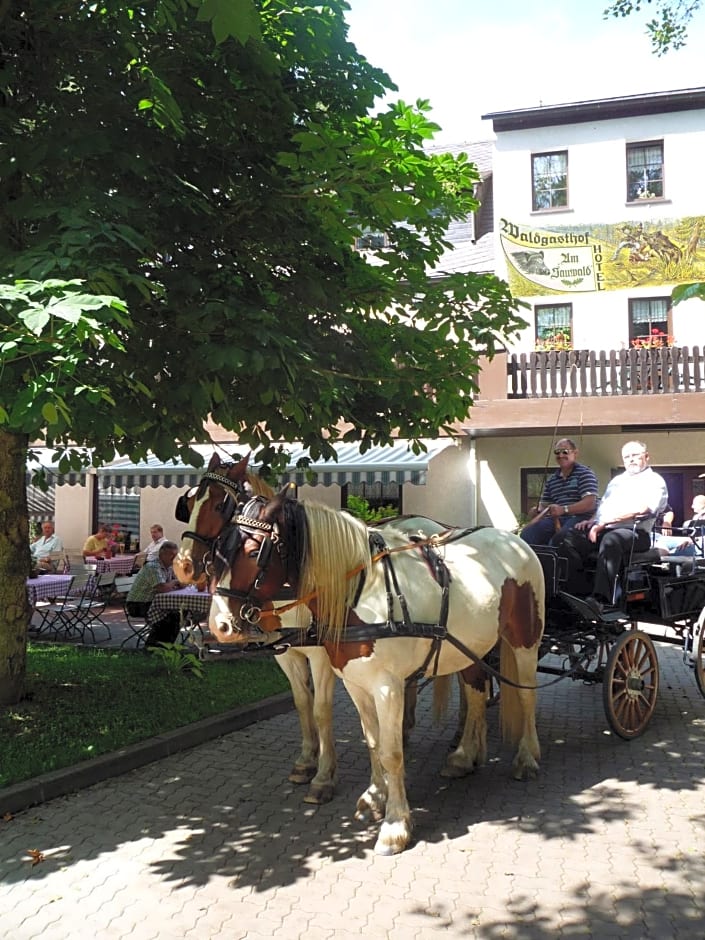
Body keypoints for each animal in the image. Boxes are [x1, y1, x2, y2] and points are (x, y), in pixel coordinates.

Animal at [204, 488, 544, 856]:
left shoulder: (386, 687)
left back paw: (526, 758)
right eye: (217, 552)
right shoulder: (355, 683)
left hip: (525, 642)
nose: (220, 626)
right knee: (476, 693)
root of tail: (515, 539)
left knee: (526, 696)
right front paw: (374, 798)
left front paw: (395, 826)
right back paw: (464, 756)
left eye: (254, 552)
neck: (362, 595)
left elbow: (391, 752)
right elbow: (372, 742)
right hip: (471, 648)